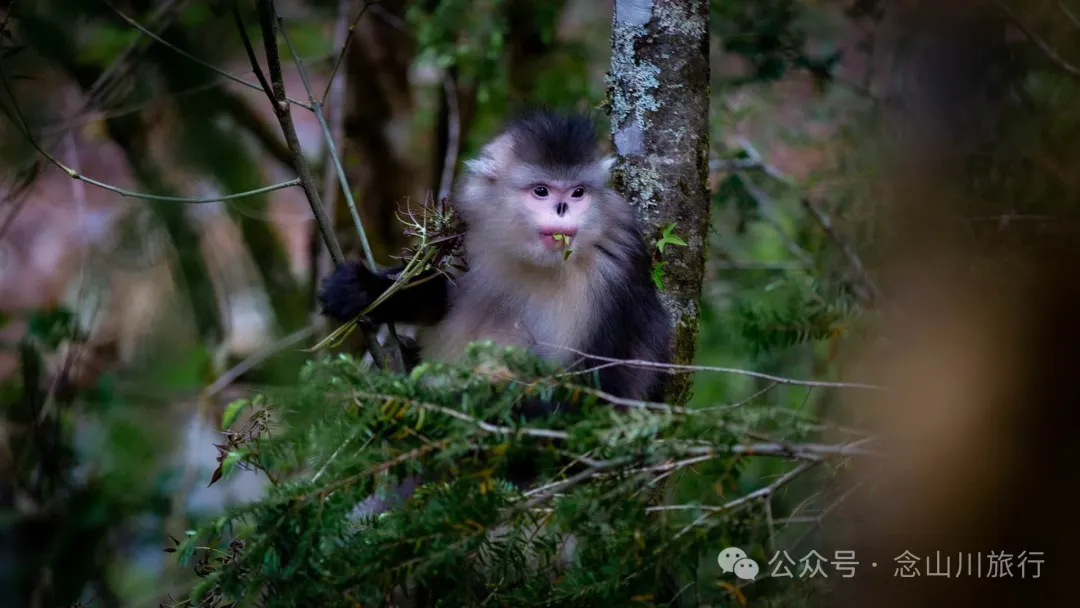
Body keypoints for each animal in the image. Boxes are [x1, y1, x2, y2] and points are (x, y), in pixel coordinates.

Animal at [318, 108, 672, 416]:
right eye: (541, 191)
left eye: (577, 193)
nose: (562, 210)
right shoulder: (471, 238)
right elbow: (439, 299)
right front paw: (361, 288)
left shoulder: (613, 268)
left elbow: (593, 392)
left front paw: (426, 402)